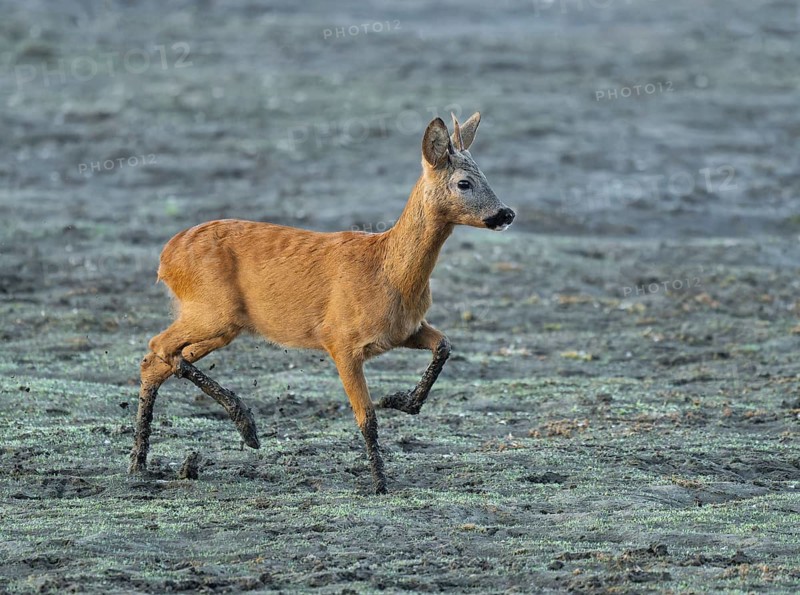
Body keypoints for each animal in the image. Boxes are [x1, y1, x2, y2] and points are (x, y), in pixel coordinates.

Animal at [129, 112, 515, 494]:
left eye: (485, 175)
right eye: (464, 183)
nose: (506, 214)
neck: (387, 270)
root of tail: (166, 258)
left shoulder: (406, 330)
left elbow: (443, 346)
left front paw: (400, 401)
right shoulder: (340, 340)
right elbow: (367, 418)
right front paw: (380, 484)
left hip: (220, 324)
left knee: (155, 361)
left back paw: (140, 465)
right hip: (213, 312)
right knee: (159, 346)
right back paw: (243, 426)